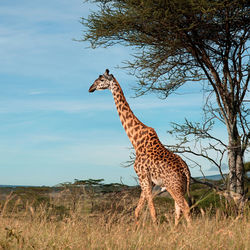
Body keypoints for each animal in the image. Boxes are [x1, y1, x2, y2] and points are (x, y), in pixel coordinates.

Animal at [88, 69, 191, 226]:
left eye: (100, 80)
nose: (91, 88)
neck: (136, 141)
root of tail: (186, 170)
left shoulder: (142, 177)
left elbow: (153, 212)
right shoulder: (148, 181)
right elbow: (137, 211)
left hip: (173, 186)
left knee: (185, 208)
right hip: (180, 187)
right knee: (178, 209)